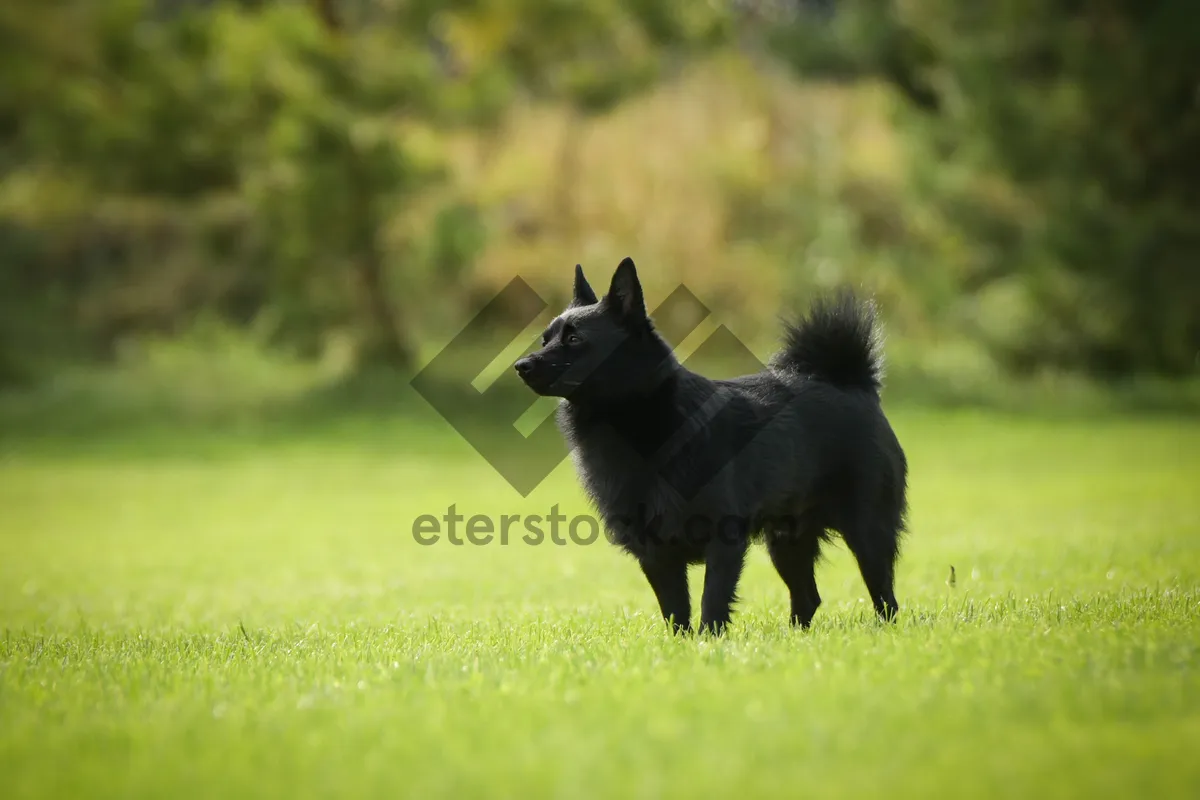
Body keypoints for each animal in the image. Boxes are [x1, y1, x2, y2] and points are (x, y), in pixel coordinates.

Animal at [516, 260, 907, 633]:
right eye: (545, 340)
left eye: (574, 338)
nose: (521, 365)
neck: (639, 425)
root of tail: (849, 381)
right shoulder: (654, 551)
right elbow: (674, 610)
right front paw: (682, 646)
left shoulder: (724, 538)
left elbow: (712, 599)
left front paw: (710, 643)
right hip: (786, 538)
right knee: (808, 597)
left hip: (867, 530)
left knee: (885, 597)